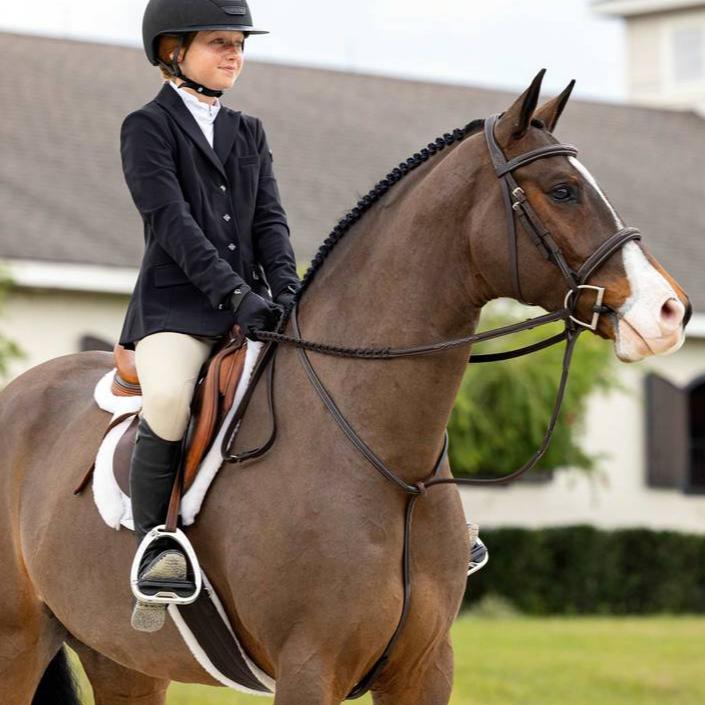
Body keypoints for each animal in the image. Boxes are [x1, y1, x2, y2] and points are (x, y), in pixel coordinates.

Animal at [0, 70, 688, 704]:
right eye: (563, 191)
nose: (669, 312)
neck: (389, 462)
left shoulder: (424, 668)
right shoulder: (310, 668)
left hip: (123, 658)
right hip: (19, 641)